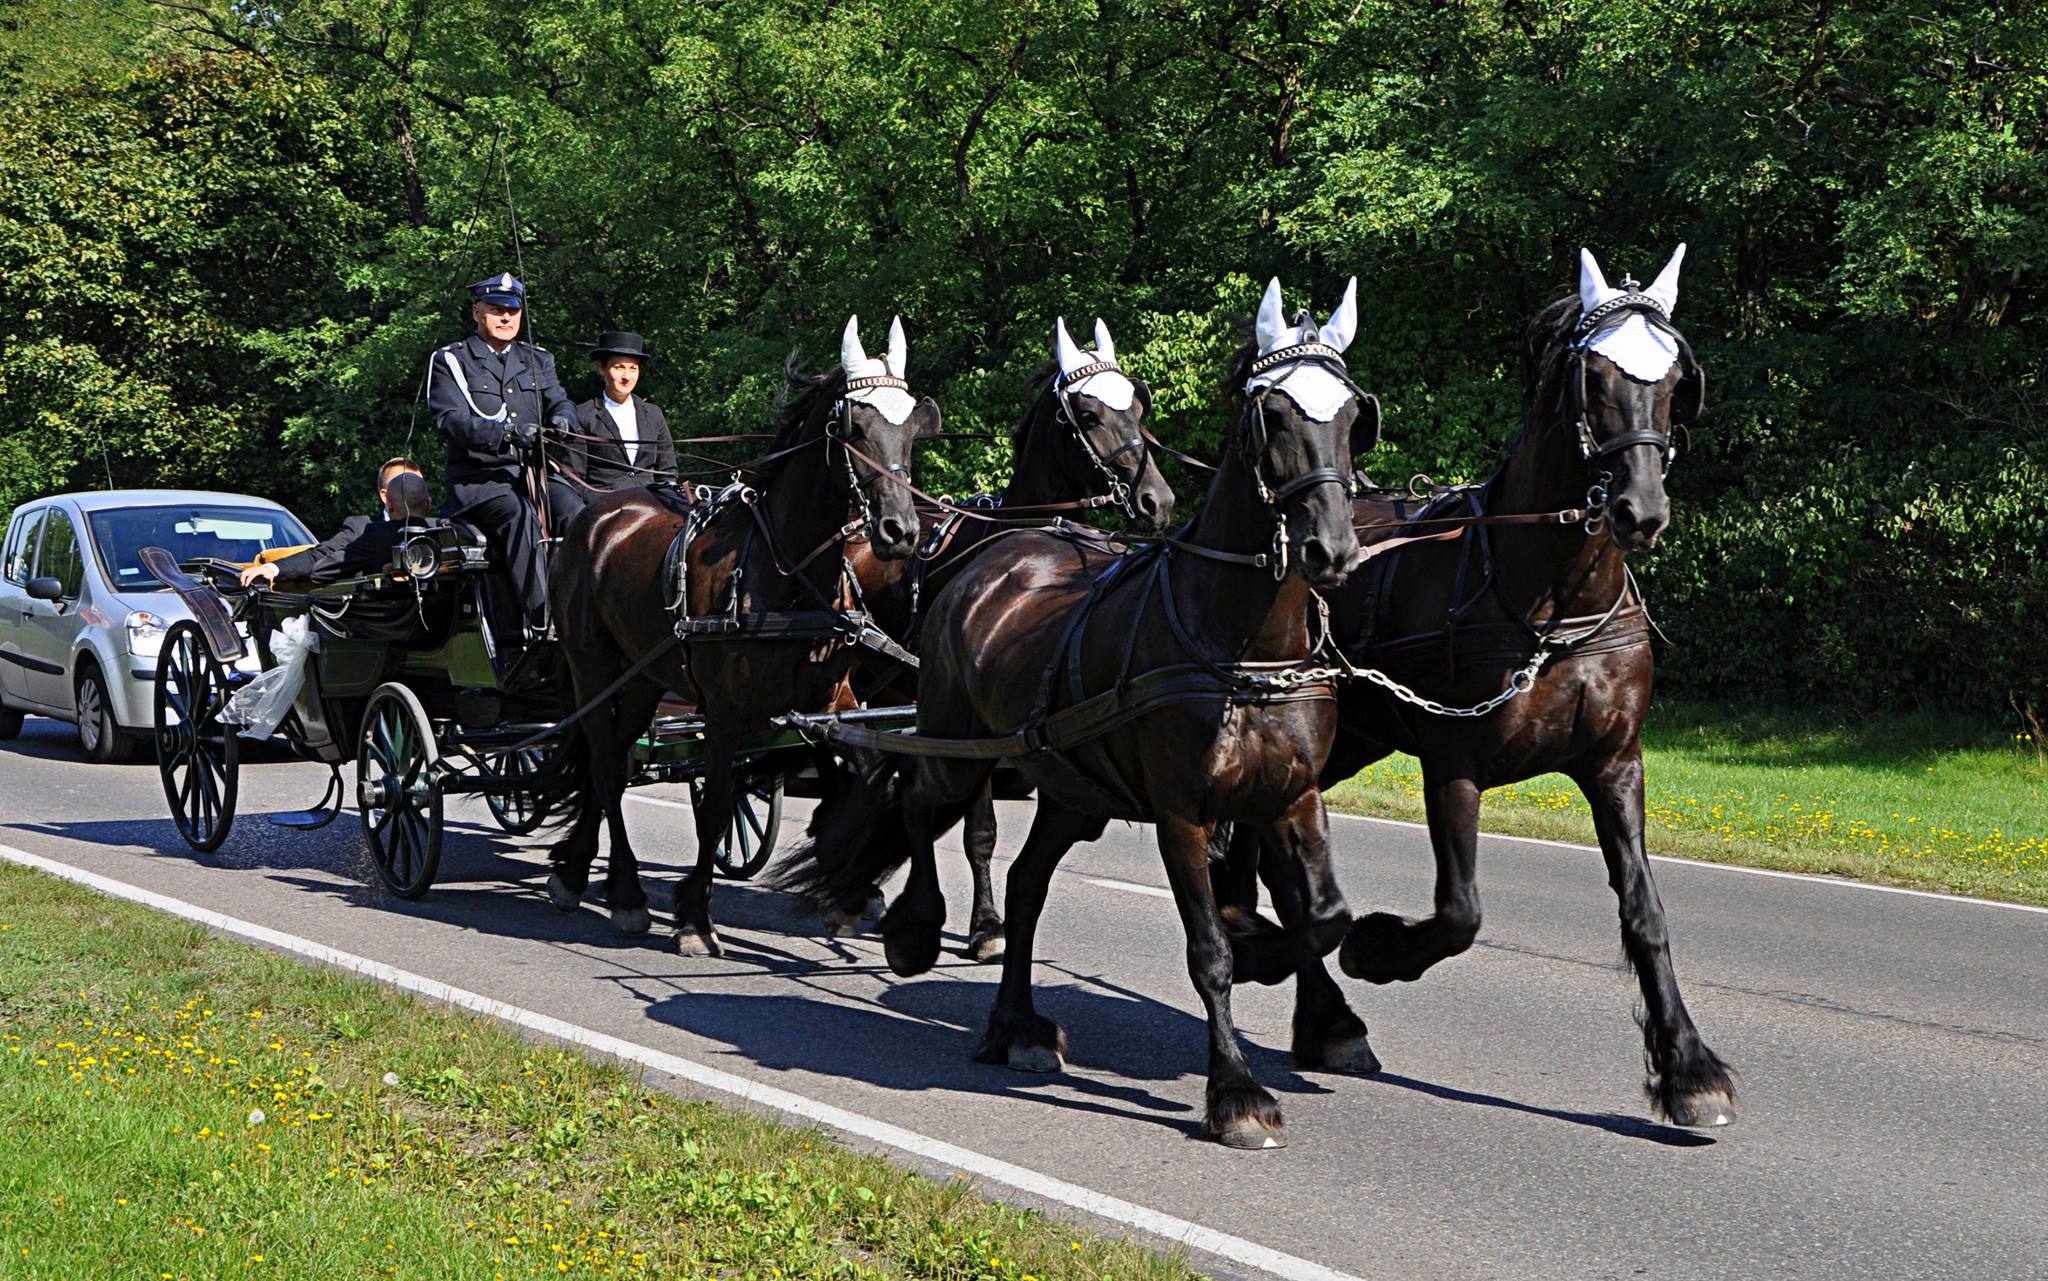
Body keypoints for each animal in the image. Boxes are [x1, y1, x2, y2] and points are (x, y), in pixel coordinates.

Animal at [1220, 244, 1736, 1123]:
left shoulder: (1615, 763)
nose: (1640, 509)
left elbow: (1645, 911)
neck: (1554, 599)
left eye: (1675, 377)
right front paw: (1379, 945)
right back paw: (1322, 1006)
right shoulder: (1452, 762)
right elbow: (1461, 911)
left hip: (1341, 745)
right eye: (1594, 378)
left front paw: (1688, 1067)